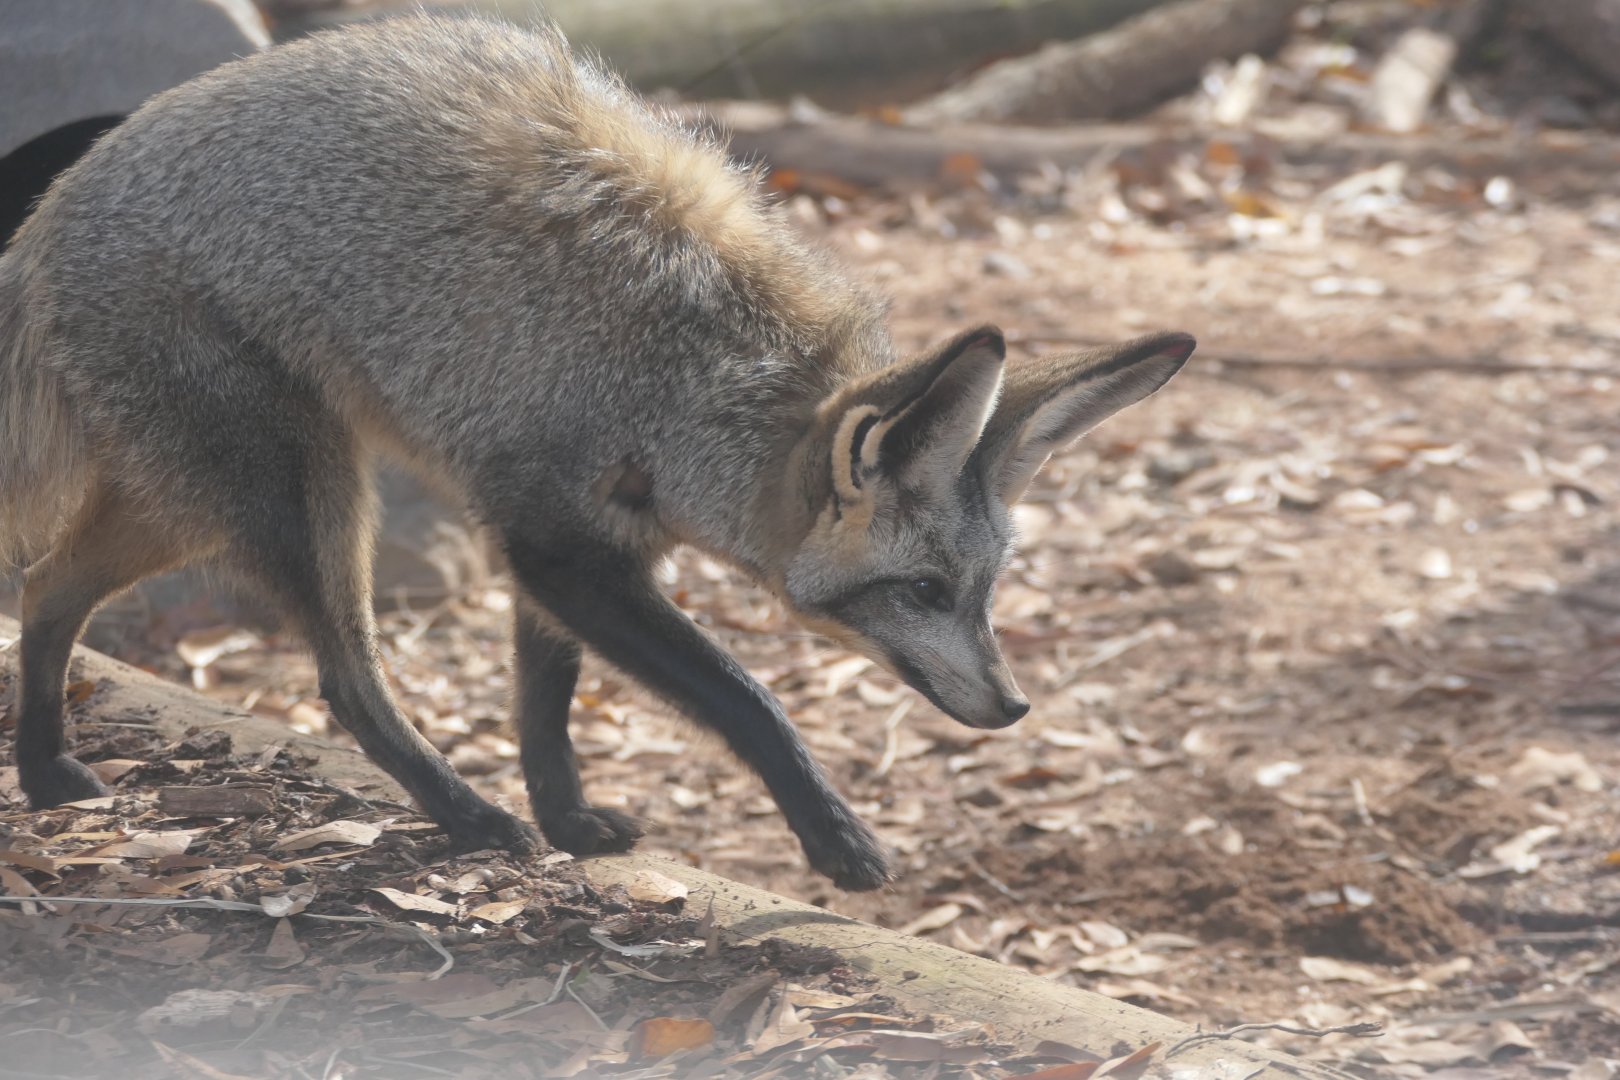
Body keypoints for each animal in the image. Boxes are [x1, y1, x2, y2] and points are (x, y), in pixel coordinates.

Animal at [0, 14, 1192, 891]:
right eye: (926, 592)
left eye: (984, 593)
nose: (1014, 706)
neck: (694, 378)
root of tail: (54, 206)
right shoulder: (556, 543)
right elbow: (747, 699)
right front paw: (834, 836)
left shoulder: (583, 548)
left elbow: (547, 702)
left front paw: (567, 820)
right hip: (301, 494)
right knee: (343, 682)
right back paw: (464, 816)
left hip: (192, 501)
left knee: (47, 586)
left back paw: (48, 771)